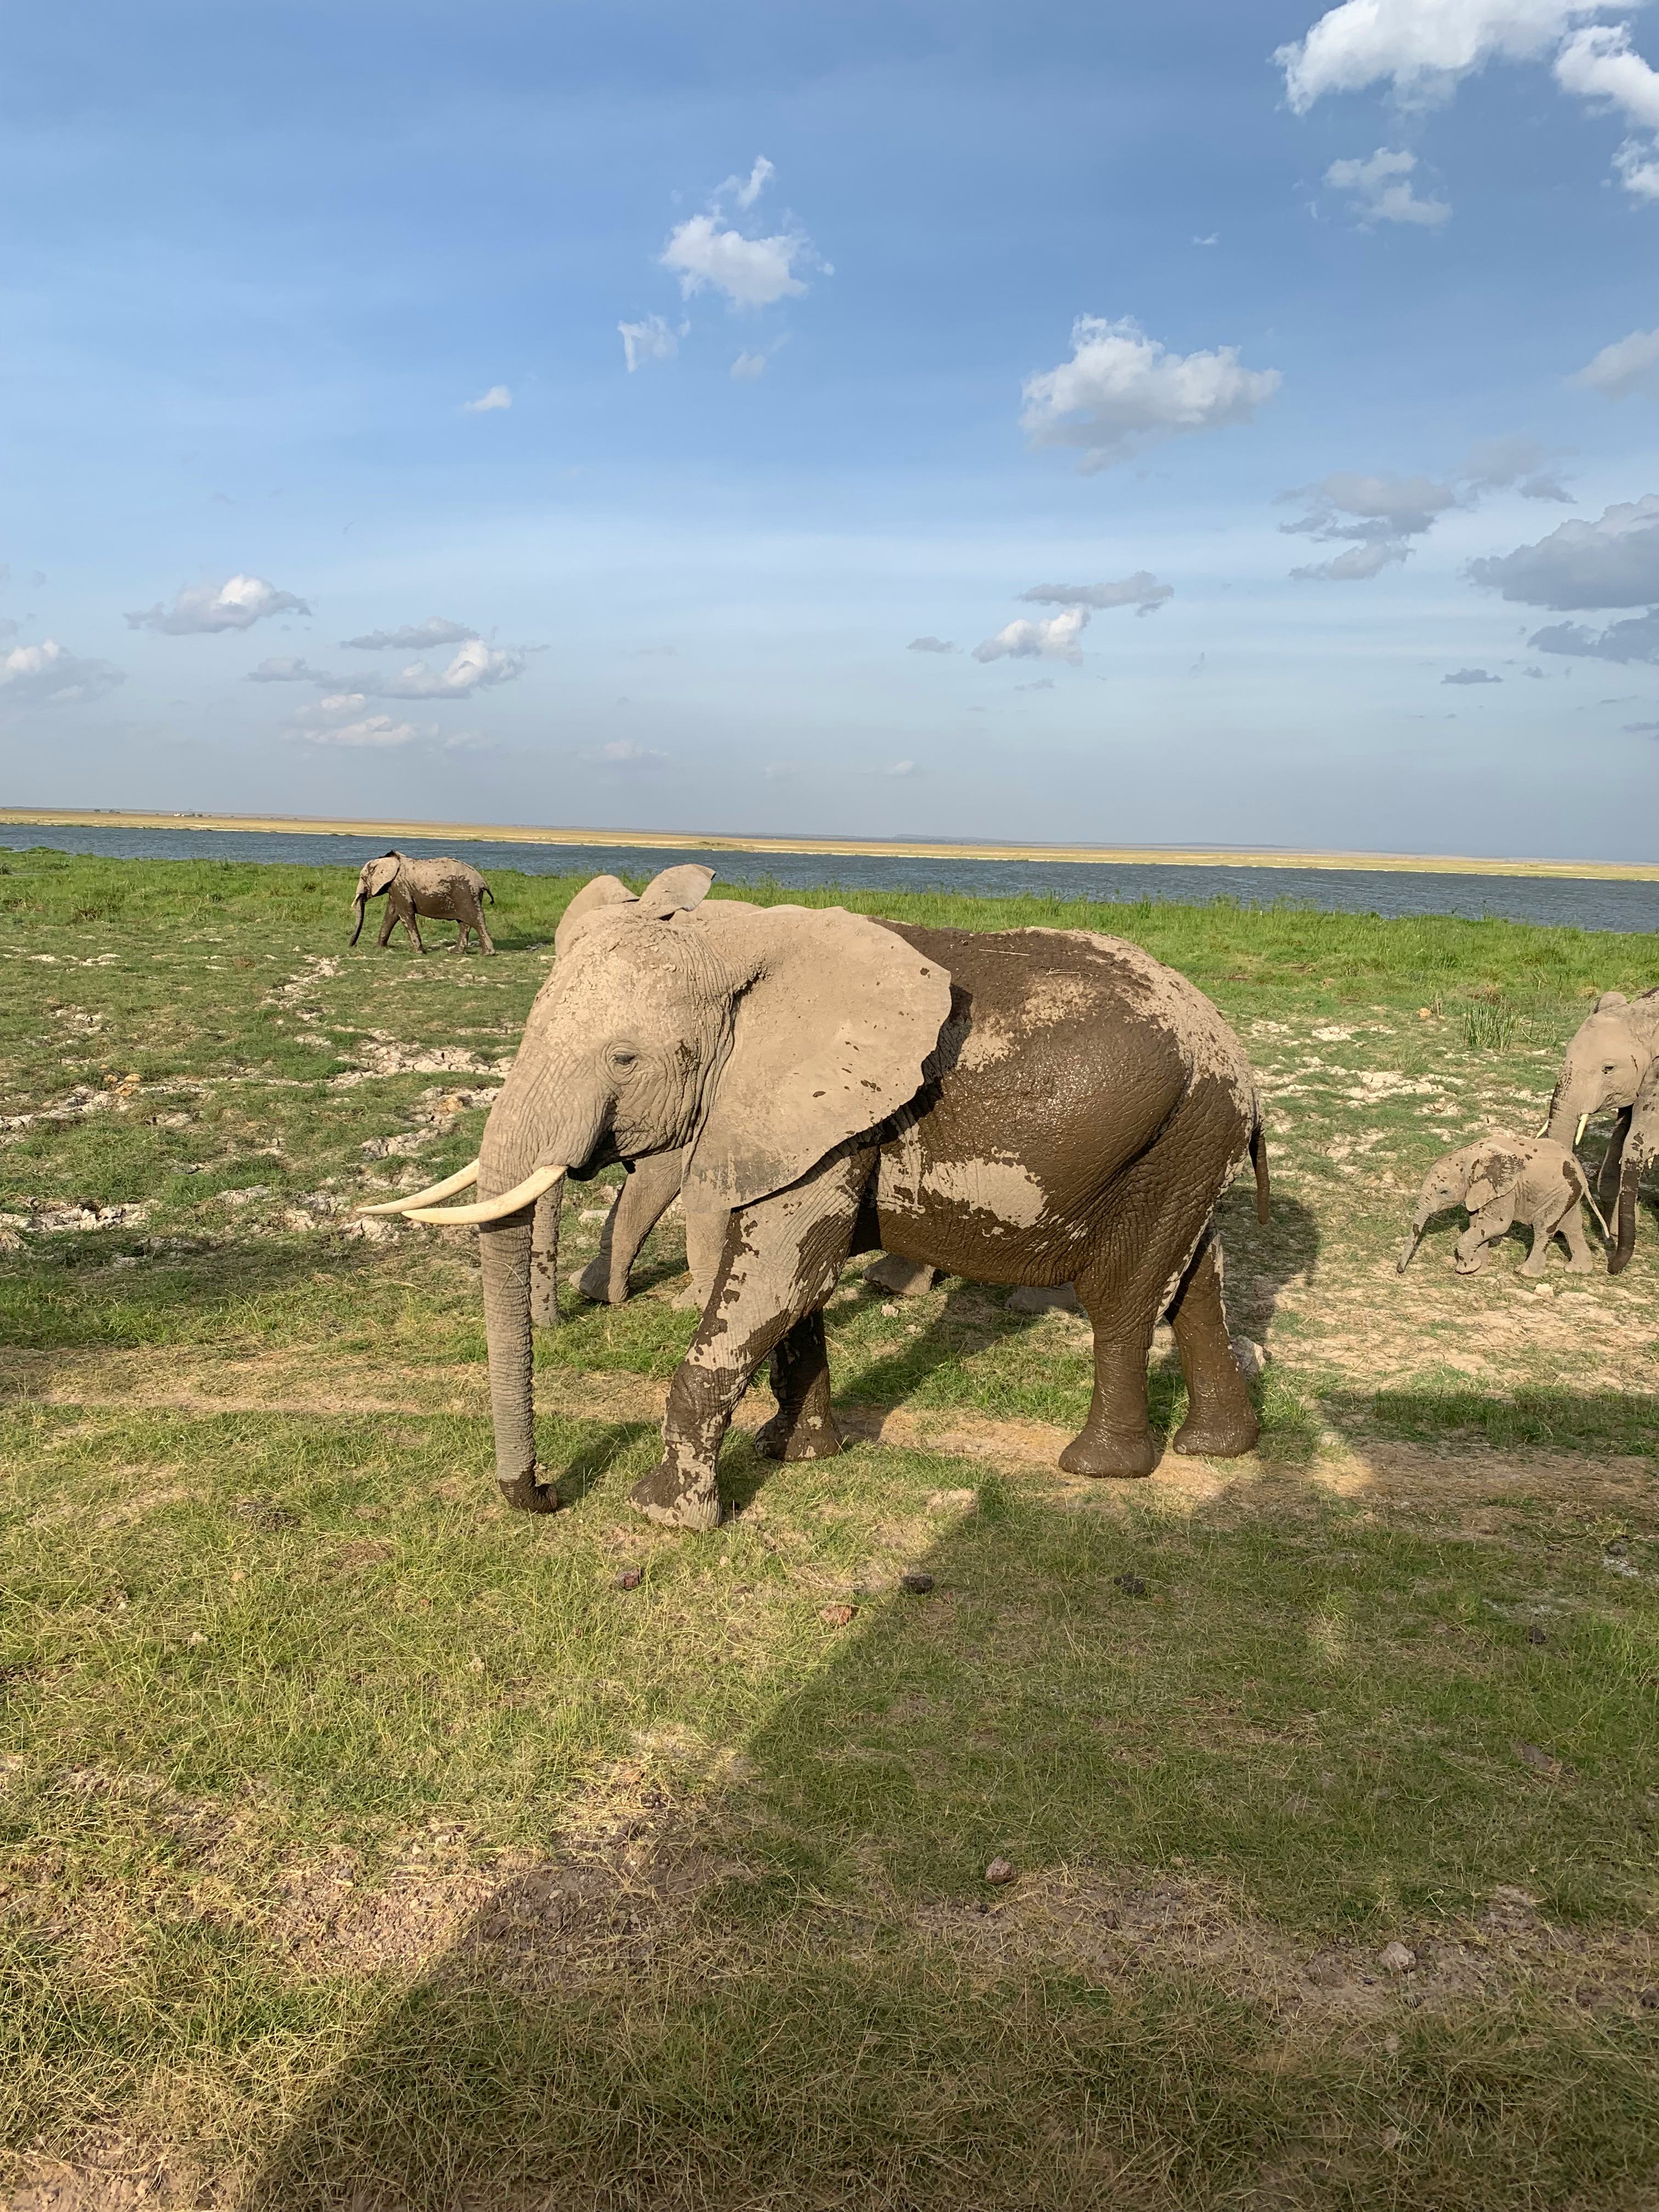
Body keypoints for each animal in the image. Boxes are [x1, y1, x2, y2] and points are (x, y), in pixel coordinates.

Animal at [350, 850, 495, 954]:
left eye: (362, 878)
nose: (351, 945)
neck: (390, 861)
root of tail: (482, 881)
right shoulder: (396, 888)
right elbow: (392, 914)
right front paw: (380, 948)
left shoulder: (400, 886)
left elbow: (405, 913)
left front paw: (419, 952)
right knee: (464, 923)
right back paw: (456, 952)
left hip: (466, 893)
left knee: (476, 919)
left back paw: (488, 954)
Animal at [364, 865, 1270, 1530]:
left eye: (625, 1060)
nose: (548, 1494)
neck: (736, 941)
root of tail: (1233, 1044)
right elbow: (793, 1290)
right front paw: (793, 1455)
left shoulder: (832, 1119)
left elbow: (776, 1280)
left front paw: (662, 1516)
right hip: (1190, 1137)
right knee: (1196, 1281)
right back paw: (1219, 1446)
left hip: (1177, 1130)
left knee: (1123, 1297)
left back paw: (1098, 1467)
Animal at [1397, 1135, 1606, 1278]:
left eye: (1444, 1192)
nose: (1400, 1270)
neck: (1469, 1154)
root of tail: (1580, 1168)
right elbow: (1476, 1222)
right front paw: (1478, 1271)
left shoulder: (1507, 1189)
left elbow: (1497, 1224)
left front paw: (1467, 1269)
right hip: (1568, 1192)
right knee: (1572, 1228)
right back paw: (1577, 1270)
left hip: (1560, 1192)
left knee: (1544, 1228)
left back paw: (1525, 1273)